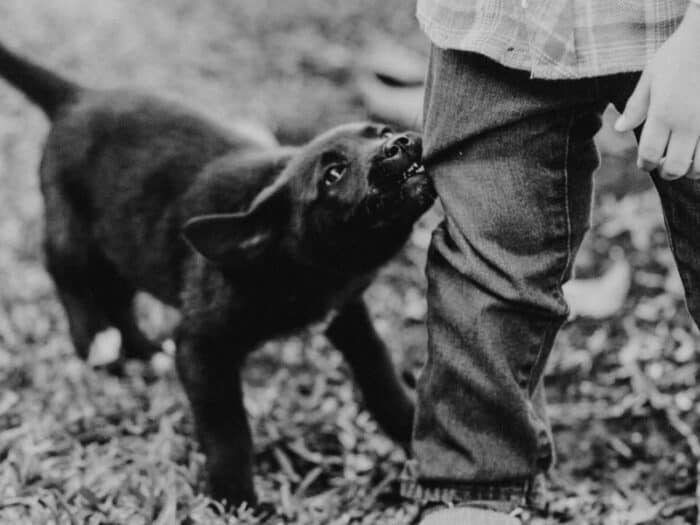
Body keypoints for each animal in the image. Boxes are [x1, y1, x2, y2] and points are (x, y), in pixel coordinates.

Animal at [0, 42, 434, 504]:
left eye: (382, 131)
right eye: (333, 174)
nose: (400, 142)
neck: (305, 268)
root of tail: (78, 97)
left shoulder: (348, 314)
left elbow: (380, 376)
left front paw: (412, 429)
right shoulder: (202, 348)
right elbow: (227, 429)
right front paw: (233, 496)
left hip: (120, 244)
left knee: (117, 297)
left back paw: (141, 352)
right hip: (74, 233)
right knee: (67, 276)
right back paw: (96, 344)